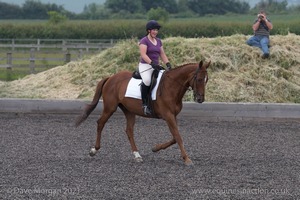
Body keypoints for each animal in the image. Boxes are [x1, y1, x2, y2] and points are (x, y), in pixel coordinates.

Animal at [75, 59, 211, 166]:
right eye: (199, 79)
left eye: (206, 80)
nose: (200, 99)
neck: (172, 87)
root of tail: (111, 77)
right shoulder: (168, 116)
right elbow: (178, 136)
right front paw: (187, 159)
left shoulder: (173, 116)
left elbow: (174, 137)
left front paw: (155, 148)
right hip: (110, 108)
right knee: (100, 123)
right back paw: (94, 150)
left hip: (129, 111)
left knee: (129, 130)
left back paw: (137, 155)